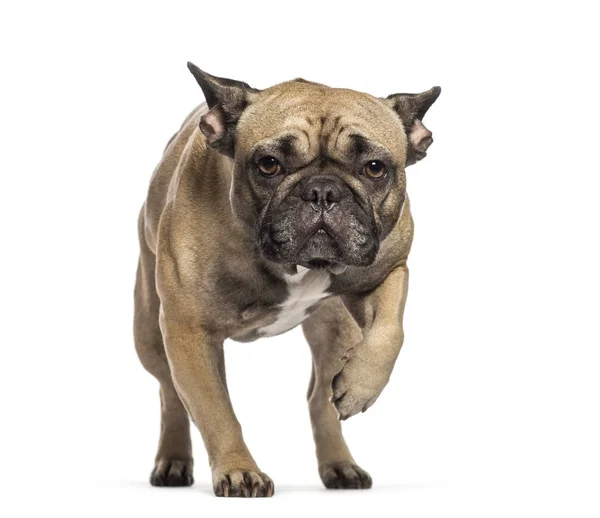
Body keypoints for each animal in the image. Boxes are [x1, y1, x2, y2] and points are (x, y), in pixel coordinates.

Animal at [134, 63, 438, 498]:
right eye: (268, 164)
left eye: (374, 168)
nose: (323, 190)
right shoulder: (188, 332)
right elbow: (216, 410)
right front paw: (239, 471)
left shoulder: (390, 271)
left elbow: (390, 331)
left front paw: (362, 385)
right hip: (148, 329)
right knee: (170, 393)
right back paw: (173, 460)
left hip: (335, 329)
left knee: (320, 399)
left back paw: (341, 464)